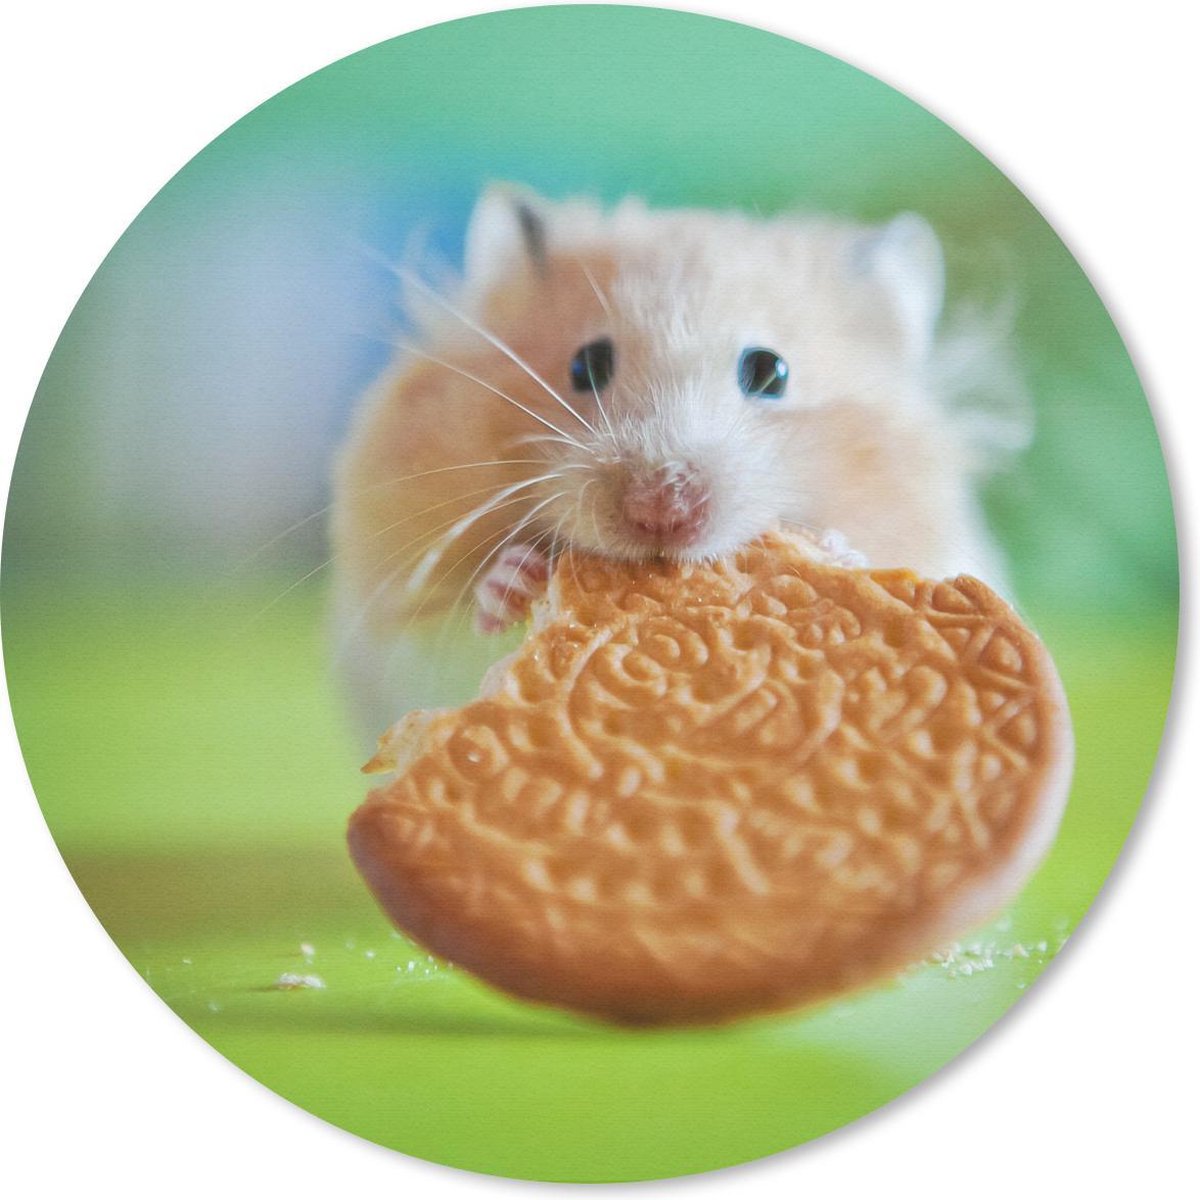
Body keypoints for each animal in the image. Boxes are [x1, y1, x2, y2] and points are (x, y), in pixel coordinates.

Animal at [331, 184, 1028, 735]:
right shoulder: (395, 625)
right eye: (585, 365)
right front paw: (516, 577)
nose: (662, 509)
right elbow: (459, 647)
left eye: (770, 372)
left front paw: (838, 555)